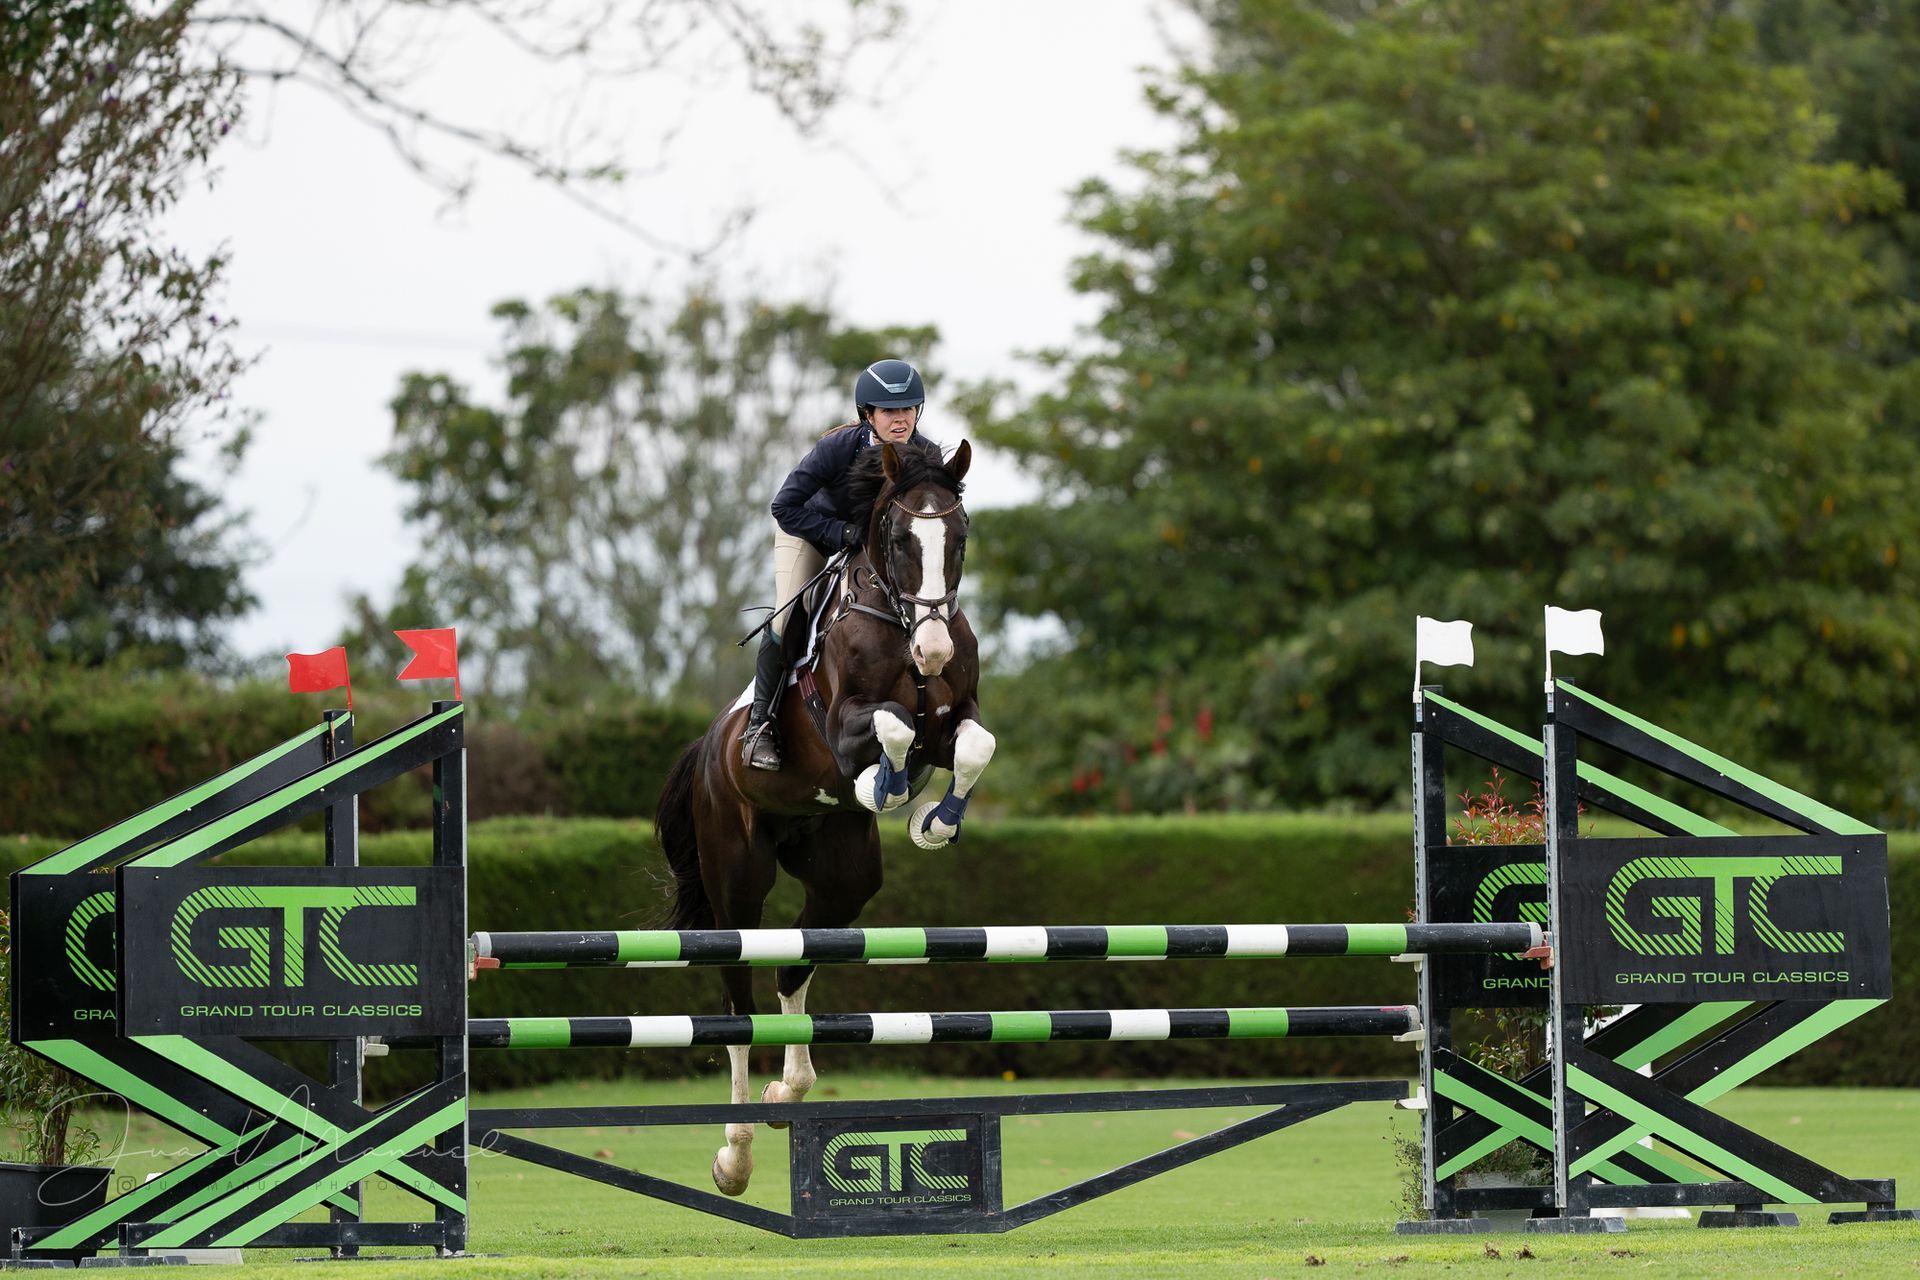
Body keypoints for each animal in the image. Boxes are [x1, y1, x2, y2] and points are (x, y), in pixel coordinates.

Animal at [653, 439, 996, 1197]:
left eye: (959, 538)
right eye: (899, 541)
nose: (933, 652)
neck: (900, 623)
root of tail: (708, 746)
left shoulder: (956, 719)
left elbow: (971, 744)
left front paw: (935, 820)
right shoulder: (845, 723)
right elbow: (893, 727)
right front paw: (886, 785)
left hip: (842, 878)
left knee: (793, 968)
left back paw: (787, 1094)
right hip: (736, 880)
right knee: (738, 1004)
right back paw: (735, 1155)